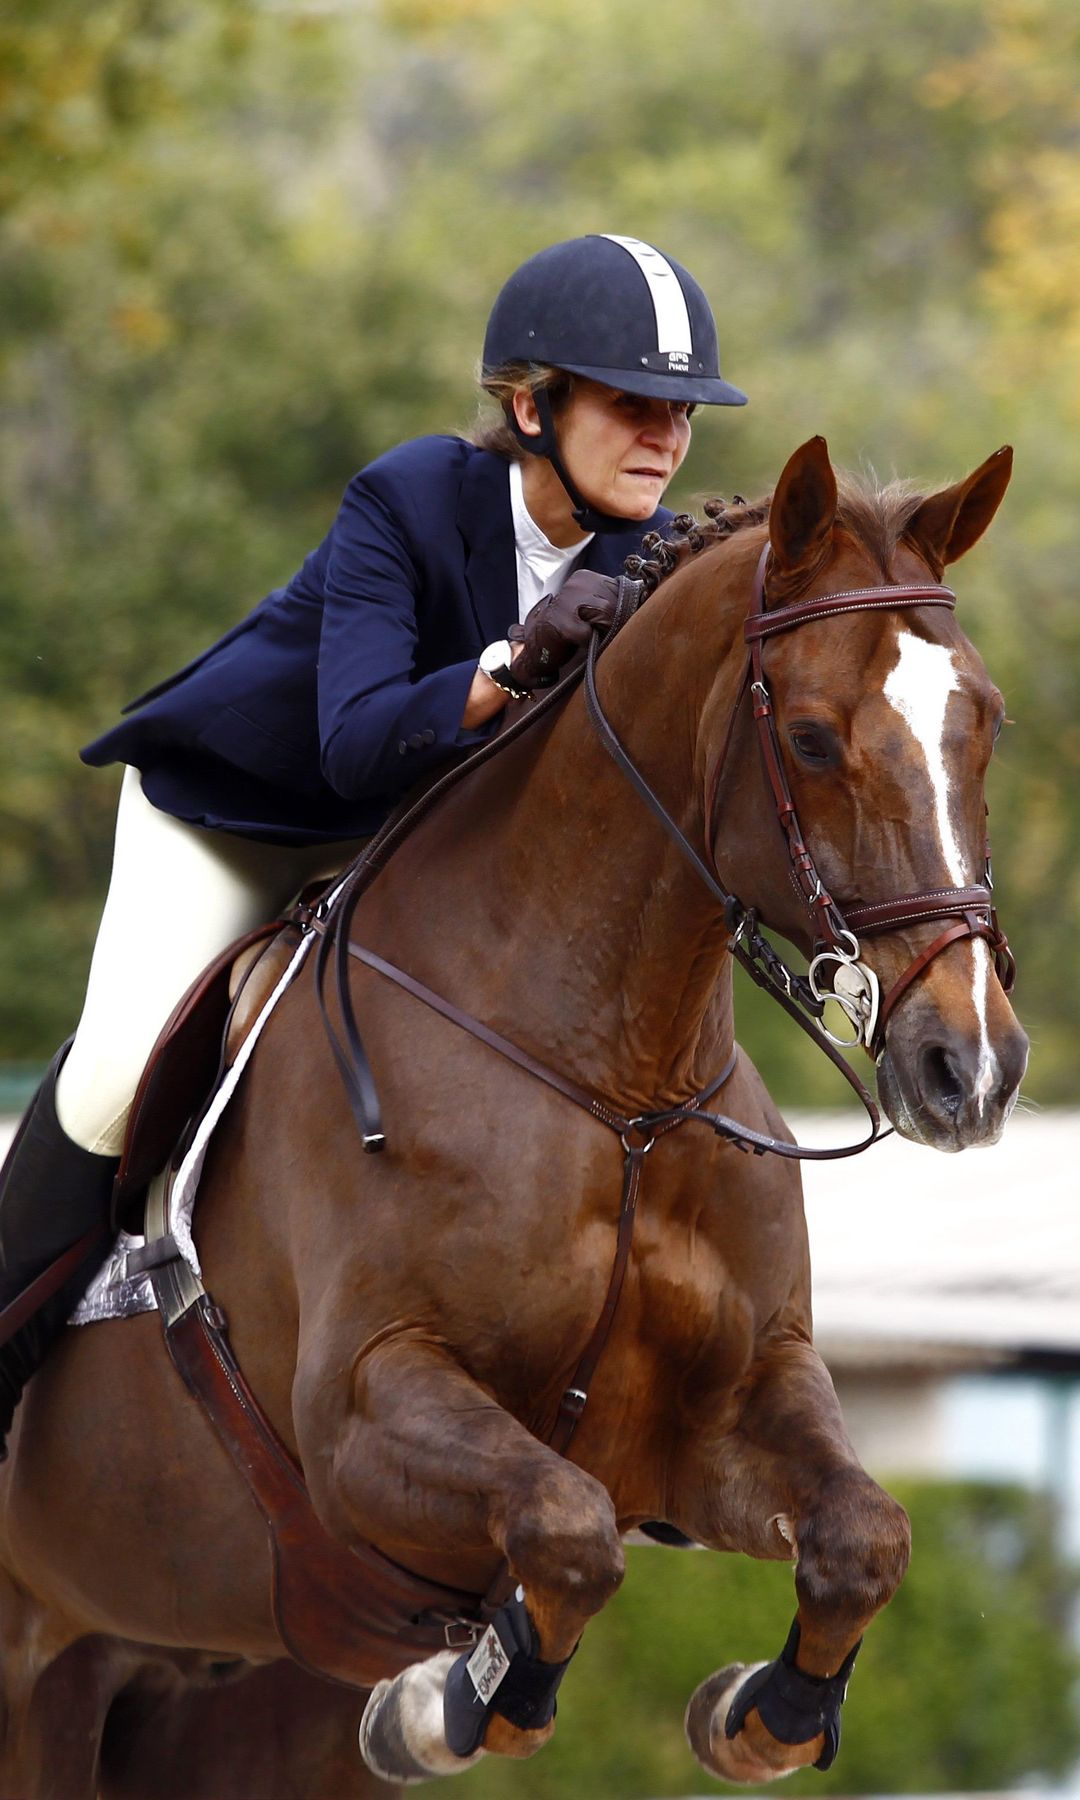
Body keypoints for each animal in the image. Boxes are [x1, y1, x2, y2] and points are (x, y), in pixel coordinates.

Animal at [0, 439, 1022, 1800]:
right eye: (808, 739)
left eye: (986, 724)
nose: (974, 1067)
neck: (616, 1086)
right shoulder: (363, 1413)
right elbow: (566, 1532)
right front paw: (452, 1698)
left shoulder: (732, 1403)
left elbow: (863, 1534)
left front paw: (763, 1711)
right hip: (36, 1669)